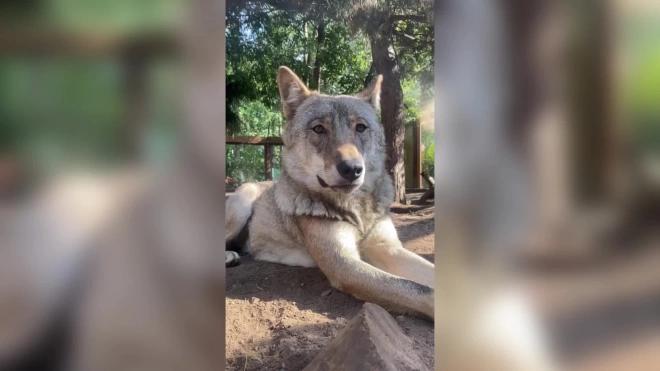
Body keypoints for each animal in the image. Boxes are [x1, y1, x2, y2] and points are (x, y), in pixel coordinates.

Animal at [224, 66, 436, 320]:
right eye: (319, 129)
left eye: (360, 127)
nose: (352, 169)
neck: (357, 212)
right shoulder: (343, 264)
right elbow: (421, 290)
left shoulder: (387, 247)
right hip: (240, 208)